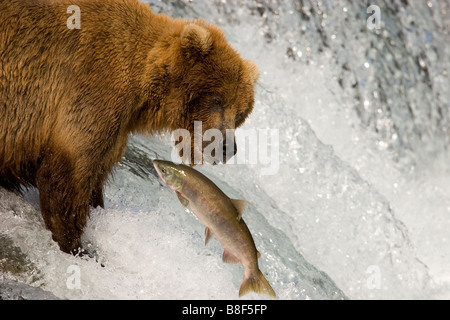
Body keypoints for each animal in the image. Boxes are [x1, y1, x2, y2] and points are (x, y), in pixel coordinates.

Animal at [0, 0, 258, 255]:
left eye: (240, 113)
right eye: (218, 99)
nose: (227, 147)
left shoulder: (117, 129)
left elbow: (95, 177)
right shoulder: (94, 90)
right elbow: (68, 173)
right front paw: (75, 245)